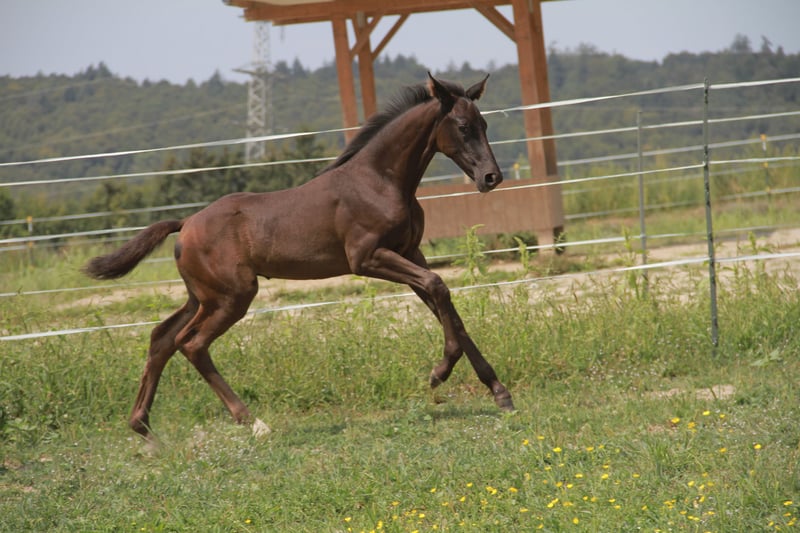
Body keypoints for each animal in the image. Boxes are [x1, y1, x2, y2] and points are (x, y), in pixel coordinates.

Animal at [84, 73, 515, 440]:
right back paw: (251, 421)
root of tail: (186, 222)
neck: (379, 180)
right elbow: (439, 288)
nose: (491, 177)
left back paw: (144, 429)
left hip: (203, 296)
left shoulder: (411, 252)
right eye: (463, 127)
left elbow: (448, 309)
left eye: (485, 125)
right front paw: (439, 372)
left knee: (162, 338)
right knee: (191, 343)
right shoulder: (368, 258)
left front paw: (499, 392)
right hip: (233, 296)